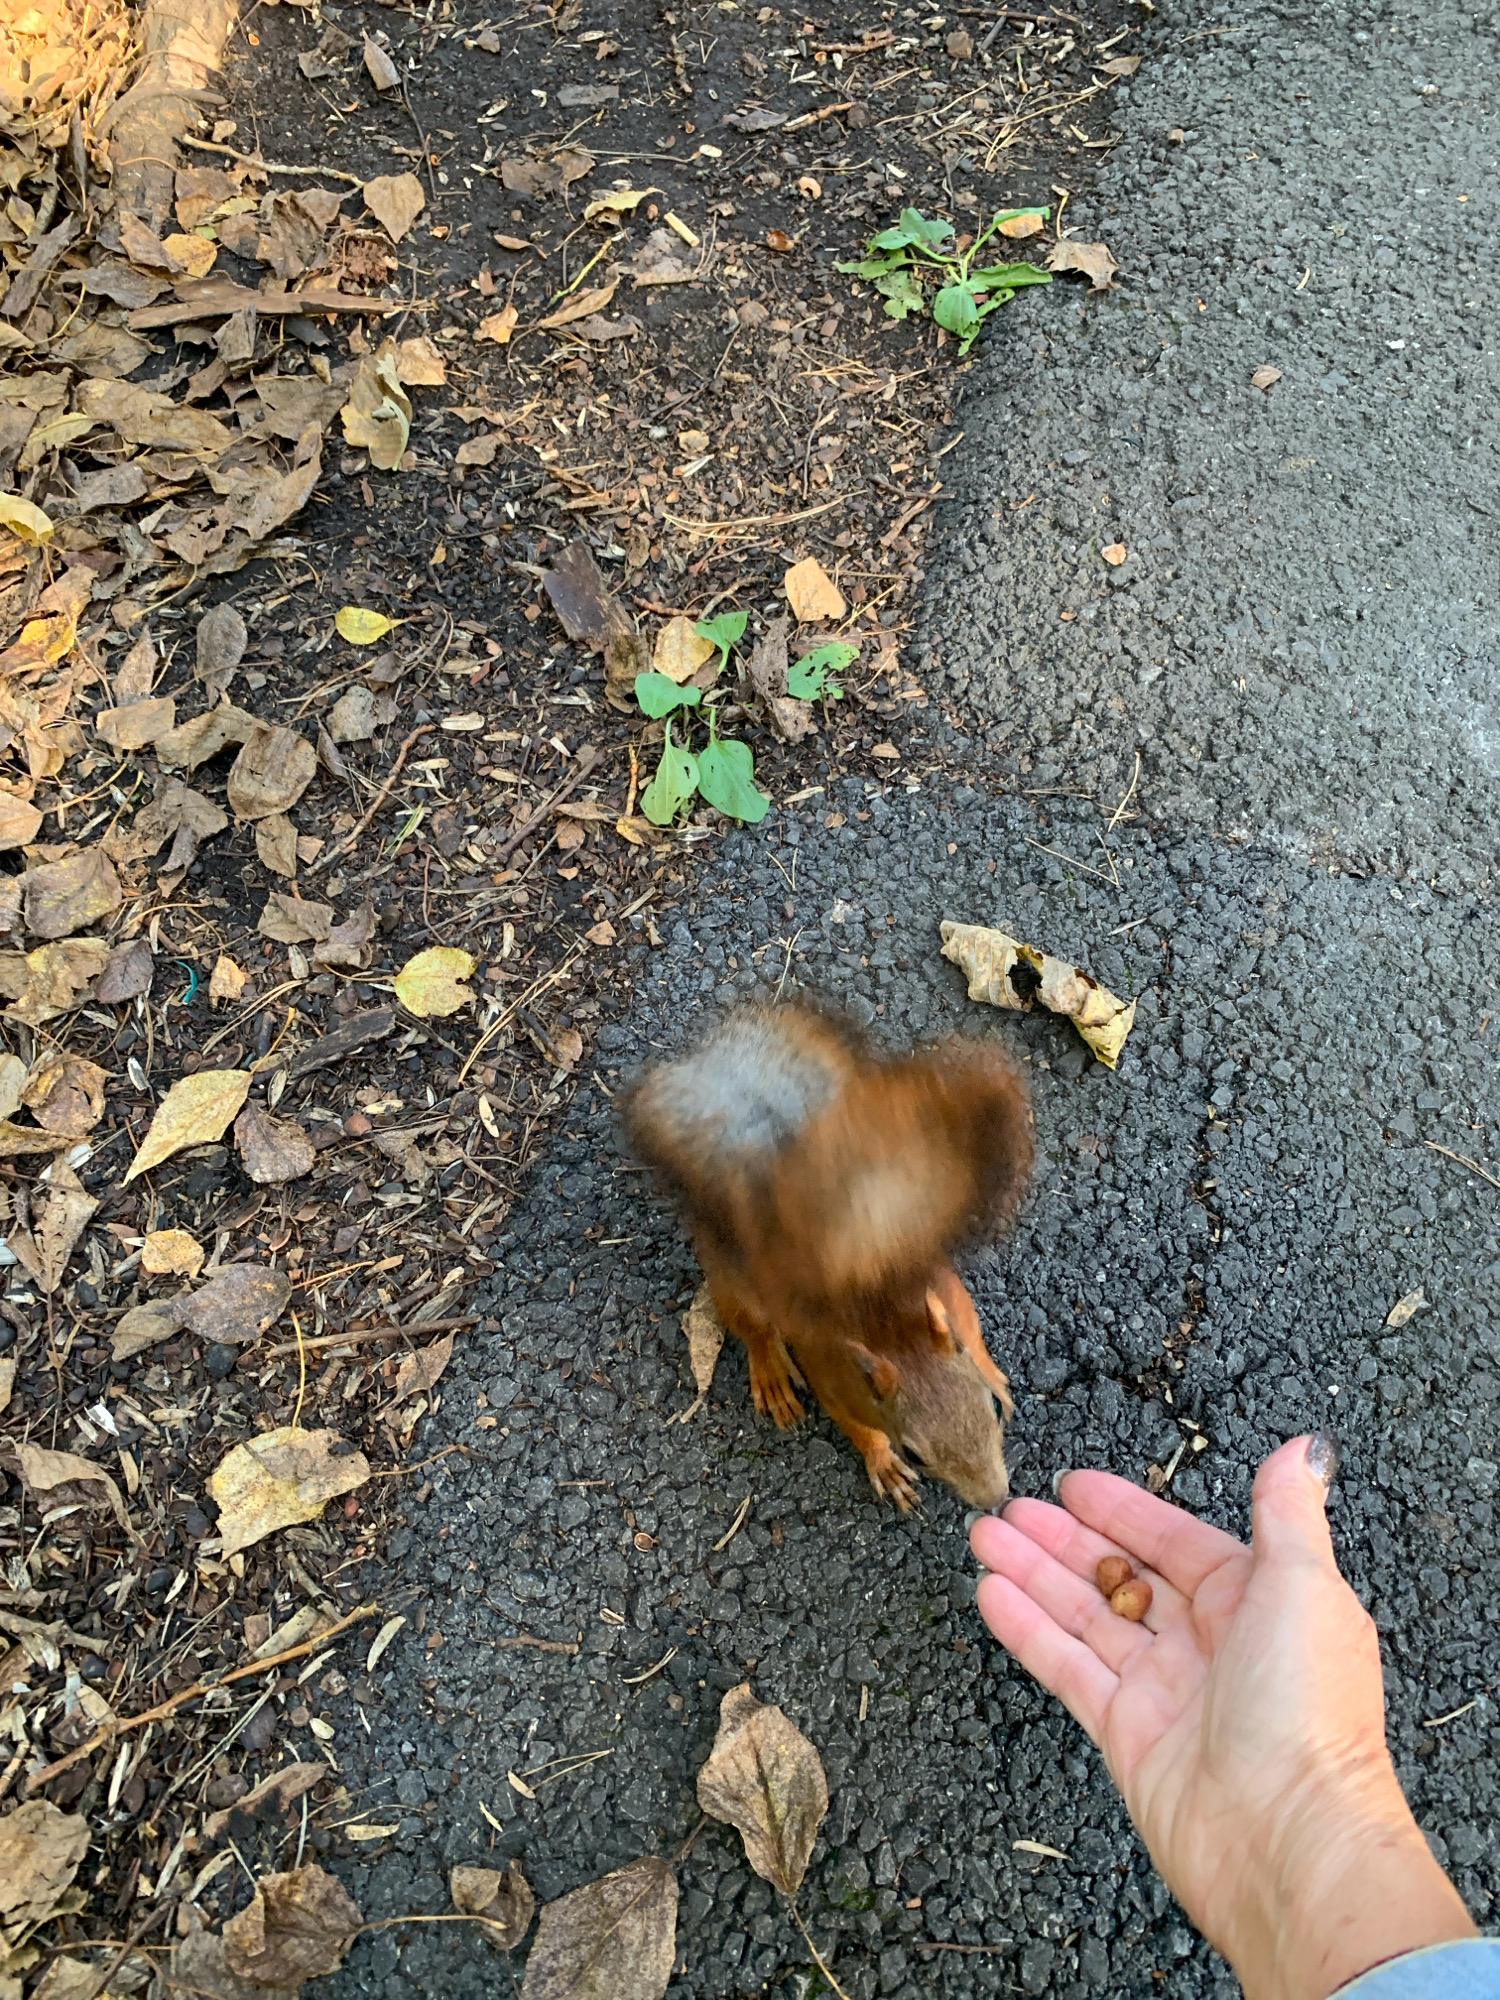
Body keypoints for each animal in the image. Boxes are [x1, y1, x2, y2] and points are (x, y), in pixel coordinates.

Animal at [623, 1001, 1033, 1511]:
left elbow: (972, 1334)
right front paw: (882, 1462)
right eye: (914, 1454)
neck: (894, 1330)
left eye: (990, 1410)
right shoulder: (834, 1377)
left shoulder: (945, 1288)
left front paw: (995, 1375)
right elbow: (856, 1425)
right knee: (749, 1326)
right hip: (734, 1281)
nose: (996, 1499)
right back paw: (771, 1372)